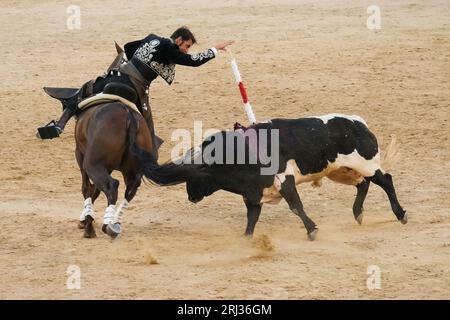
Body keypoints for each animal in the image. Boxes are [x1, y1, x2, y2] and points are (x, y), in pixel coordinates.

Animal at [141, 113, 408, 240]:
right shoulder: (253, 194)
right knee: (363, 185)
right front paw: (246, 239)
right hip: (342, 171)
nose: (191, 197)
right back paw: (358, 213)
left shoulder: (284, 180)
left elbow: (296, 206)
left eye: (197, 173)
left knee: (385, 180)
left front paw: (312, 230)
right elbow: (252, 218)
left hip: (366, 165)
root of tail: (358, 123)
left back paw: (400, 214)